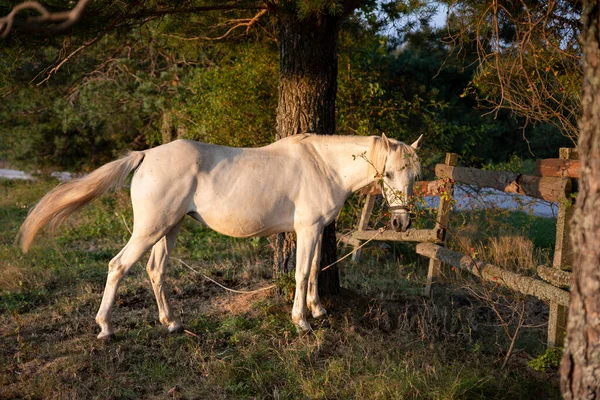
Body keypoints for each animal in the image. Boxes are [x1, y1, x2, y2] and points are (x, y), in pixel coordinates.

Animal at [18, 133, 422, 340]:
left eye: (413, 175)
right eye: (388, 174)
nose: (401, 223)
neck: (322, 165)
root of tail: (146, 155)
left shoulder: (318, 229)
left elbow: (313, 274)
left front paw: (318, 309)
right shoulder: (307, 229)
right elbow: (302, 272)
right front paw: (302, 321)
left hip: (169, 229)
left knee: (155, 271)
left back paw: (171, 323)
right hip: (150, 229)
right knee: (118, 266)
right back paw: (105, 327)